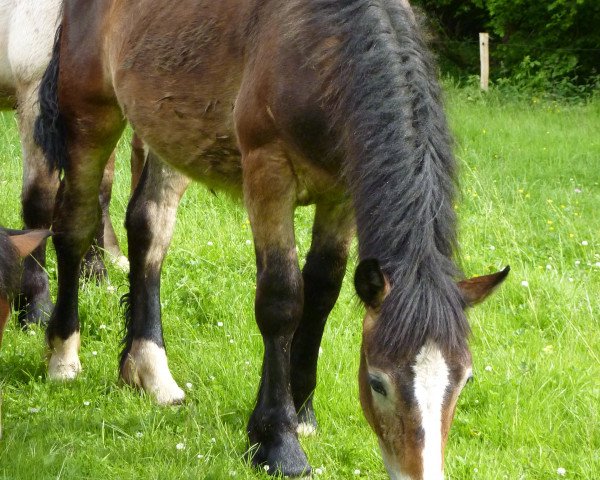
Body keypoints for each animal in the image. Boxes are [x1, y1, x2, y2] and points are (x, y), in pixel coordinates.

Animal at [36, 1, 506, 478]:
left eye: (464, 380)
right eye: (378, 382)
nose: (421, 472)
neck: (327, 45)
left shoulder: (340, 193)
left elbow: (322, 293)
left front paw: (302, 414)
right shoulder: (268, 173)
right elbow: (282, 300)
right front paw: (278, 440)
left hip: (167, 130)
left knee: (149, 227)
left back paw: (149, 370)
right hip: (90, 116)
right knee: (75, 225)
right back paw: (64, 354)